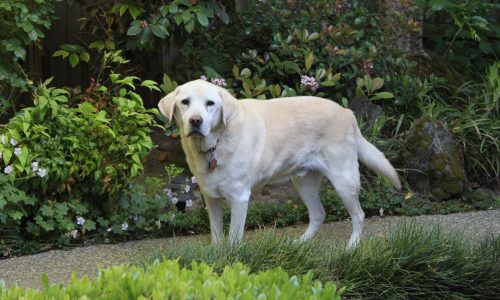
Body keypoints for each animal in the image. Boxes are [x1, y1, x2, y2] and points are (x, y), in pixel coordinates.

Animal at [158, 78, 400, 247]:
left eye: (210, 104)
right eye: (185, 102)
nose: (195, 121)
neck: (214, 145)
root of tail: (347, 112)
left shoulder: (239, 197)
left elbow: (234, 236)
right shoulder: (211, 198)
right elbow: (216, 234)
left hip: (344, 180)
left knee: (358, 215)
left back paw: (352, 247)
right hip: (303, 183)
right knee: (318, 214)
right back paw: (301, 244)